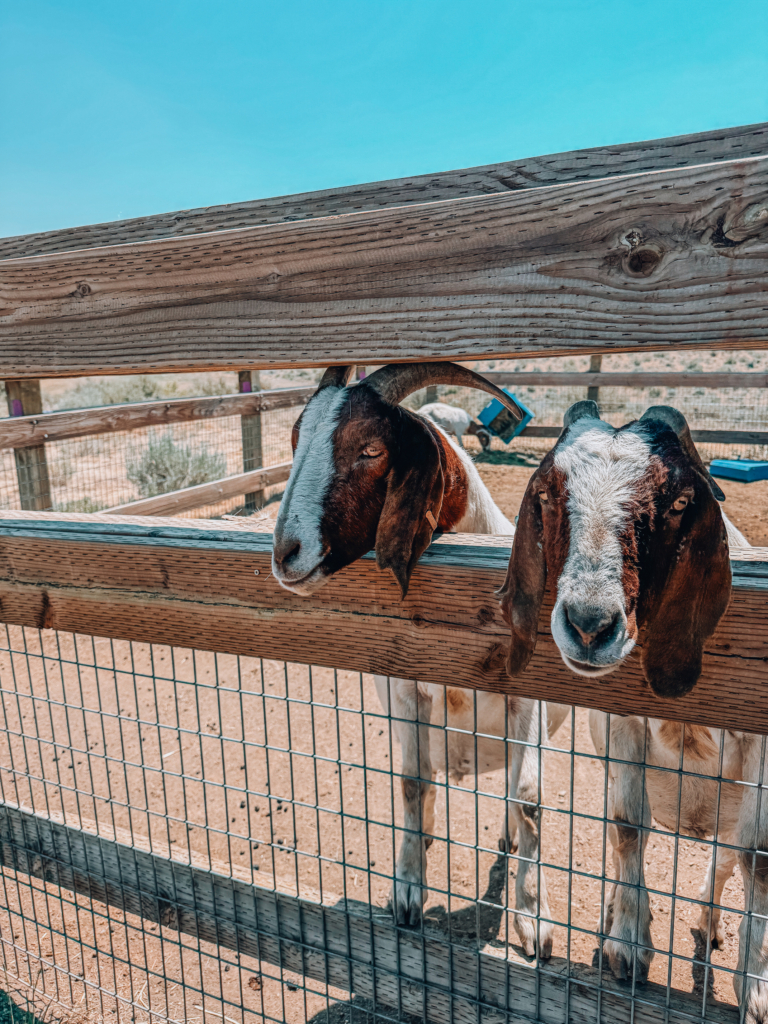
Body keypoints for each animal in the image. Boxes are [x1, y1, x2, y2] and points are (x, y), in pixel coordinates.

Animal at [272, 362, 569, 956]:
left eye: (370, 449)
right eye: (295, 440)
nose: (284, 553)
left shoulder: (528, 701)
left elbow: (529, 798)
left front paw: (535, 919)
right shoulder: (406, 688)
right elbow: (411, 781)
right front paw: (406, 892)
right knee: (428, 776)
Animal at [498, 400, 768, 1019]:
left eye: (678, 502)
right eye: (547, 494)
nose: (589, 626)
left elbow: (759, 861)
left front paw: (758, 986)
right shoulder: (624, 722)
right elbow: (626, 828)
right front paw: (626, 946)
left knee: (724, 859)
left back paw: (710, 925)